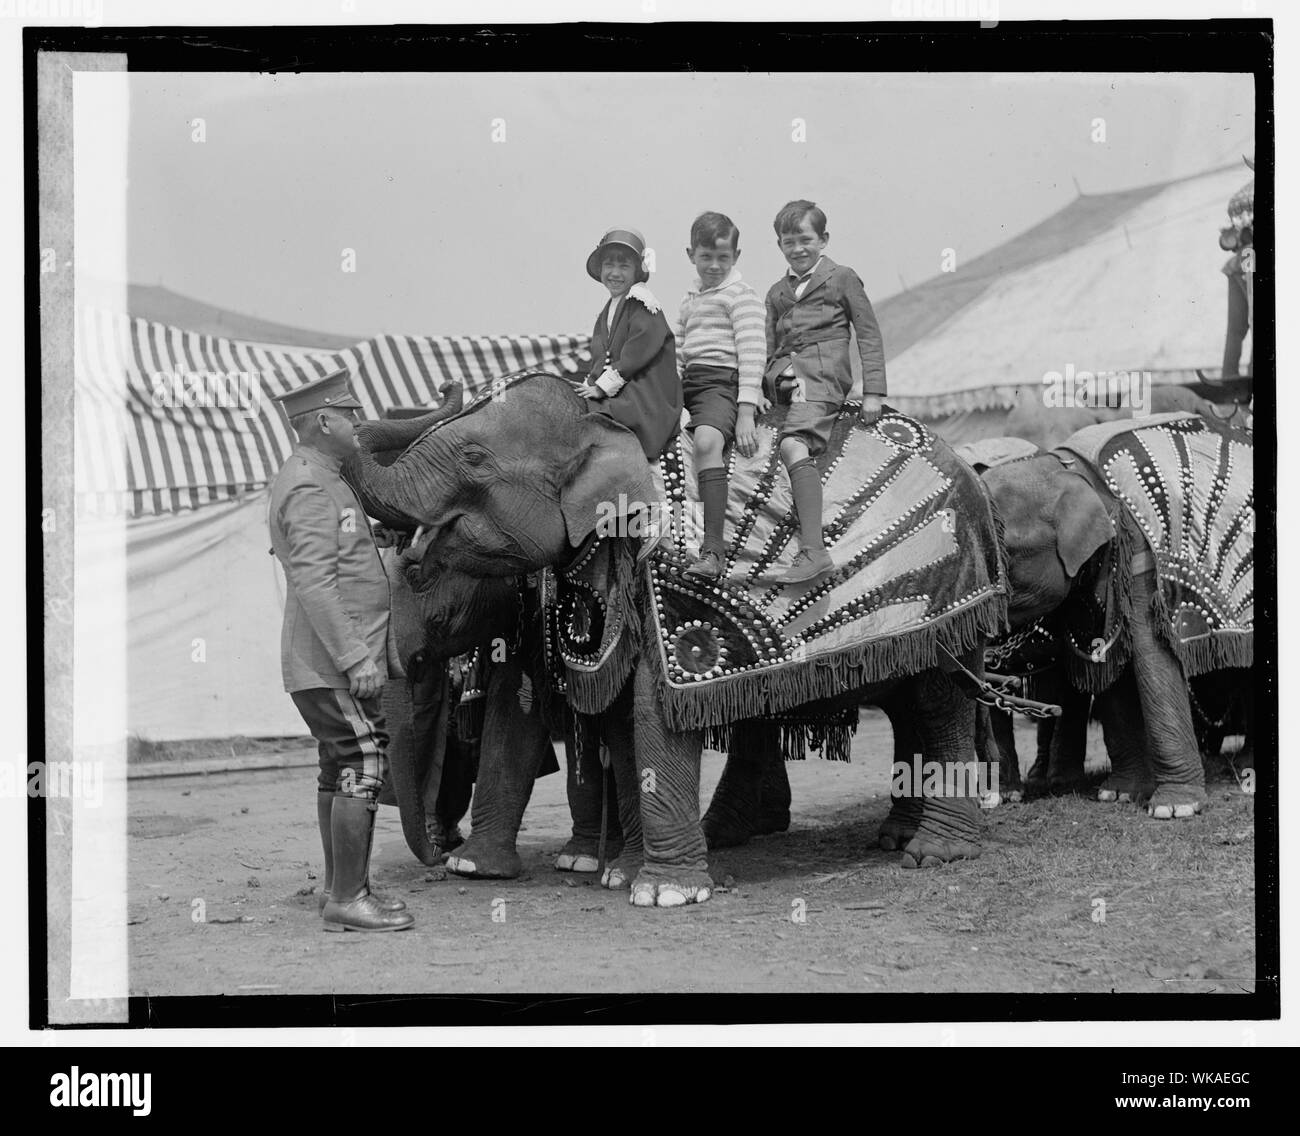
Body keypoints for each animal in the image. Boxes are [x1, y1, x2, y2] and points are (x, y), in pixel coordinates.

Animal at [351, 371, 1008, 904]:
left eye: (474, 458)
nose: (435, 855)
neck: (602, 417)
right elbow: (550, 710)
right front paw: (501, 871)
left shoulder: (668, 579)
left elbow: (650, 707)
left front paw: (660, 893)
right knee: (902, 703)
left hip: (953, 585)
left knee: (939, 701)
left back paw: (934, 852)